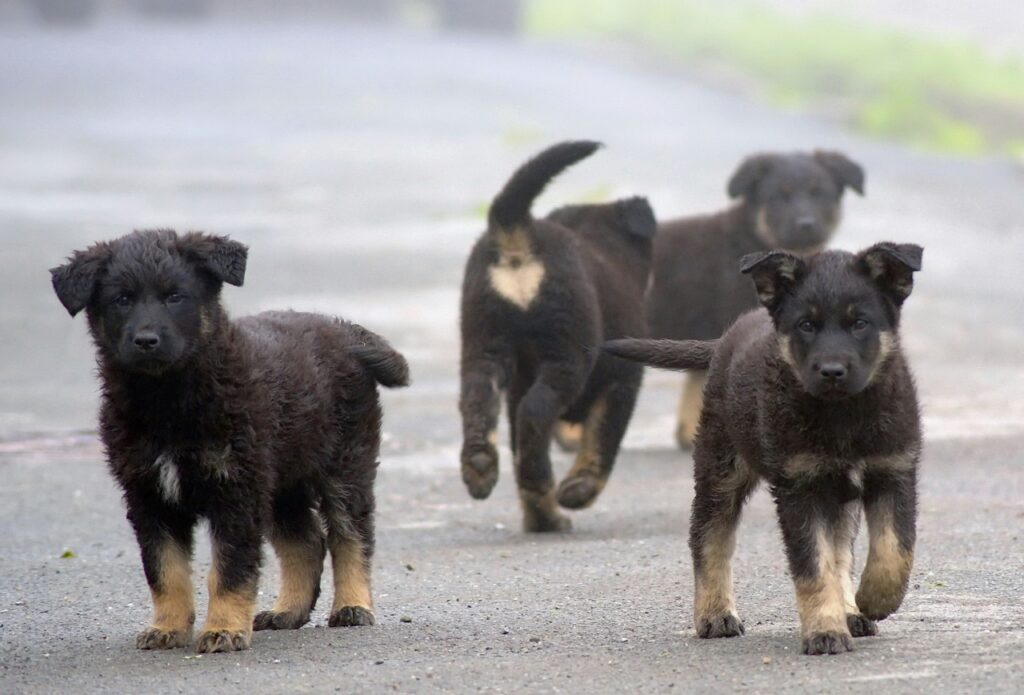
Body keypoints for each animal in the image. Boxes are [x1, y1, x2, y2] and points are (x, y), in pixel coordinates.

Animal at [48, 231, 407, 655]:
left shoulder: (235, 489)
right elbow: (164, 570)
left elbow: (230, 569)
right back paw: (288, 611)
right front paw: (167, 628)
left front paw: (224, 629)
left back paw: (352, 606)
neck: (168, 400)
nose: (146, 340)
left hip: (344, 465)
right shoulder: (148, 495)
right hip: (281, 481)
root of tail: (345, 331)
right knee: (306, 542)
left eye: (175, 296)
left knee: (351, 536)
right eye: (121, 299)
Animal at [458, 141, 655, 532]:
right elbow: (602, 441)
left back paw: (480, 466)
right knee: (536, 413)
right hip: (566, 352)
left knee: (480, 401)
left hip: (483, 343)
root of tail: (517, 231)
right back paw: (540, 479)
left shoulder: (516, 385)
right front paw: (578, 491)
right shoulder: (623, 381)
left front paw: (542, 518)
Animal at [602, 241, 925, 655]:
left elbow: (894, 549)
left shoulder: (894, 471)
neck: (842, 415)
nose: (831, 371)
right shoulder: (798, 487)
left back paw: (851, 610)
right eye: (806, 325)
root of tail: (725, 340)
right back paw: (715, 614)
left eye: (860, 323)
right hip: (721, 469)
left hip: (836, 497)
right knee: (709, 537)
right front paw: (825, 631)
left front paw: (870, 601)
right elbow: (813, 566)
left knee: (840, 550)